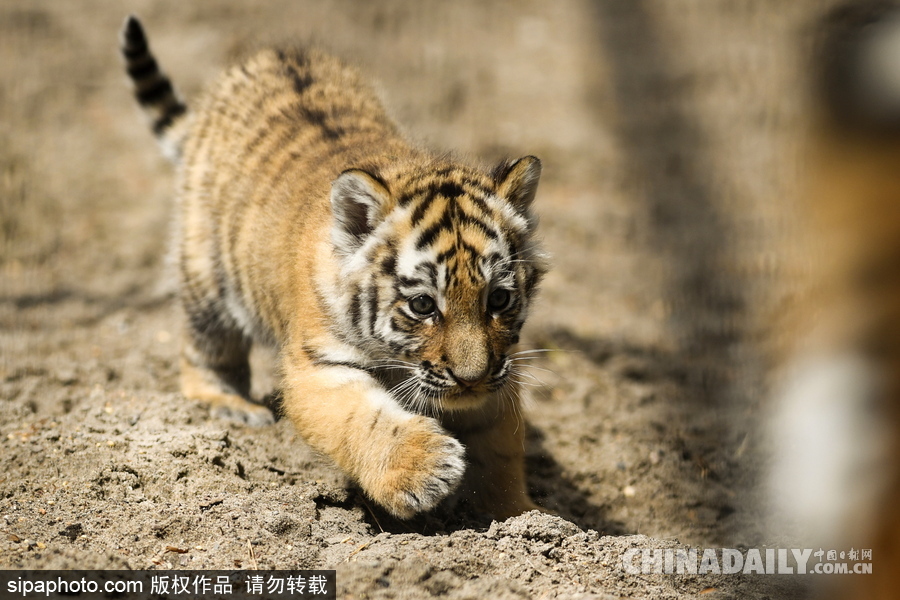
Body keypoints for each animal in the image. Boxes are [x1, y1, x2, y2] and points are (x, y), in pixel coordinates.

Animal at [119, 16, 549, 520]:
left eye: (498, 298)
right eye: (423, 306)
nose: (471, 378)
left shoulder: (502, 370)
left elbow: (501, 450)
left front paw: (526, 519)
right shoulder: (316, 366)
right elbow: (361, 418)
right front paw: (422, 468)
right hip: (205, 277)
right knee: (203, 350)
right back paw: (229, 404)